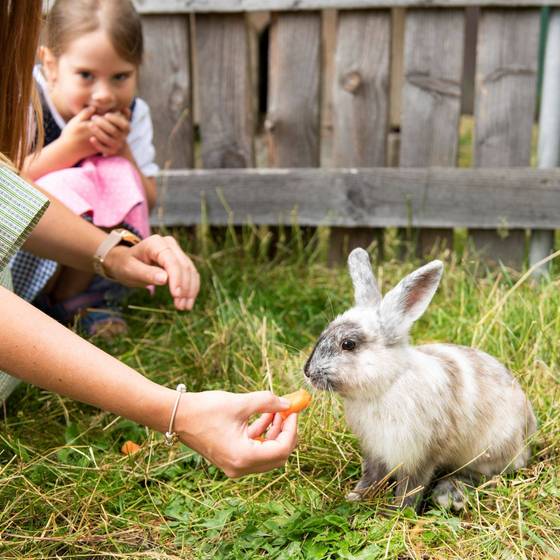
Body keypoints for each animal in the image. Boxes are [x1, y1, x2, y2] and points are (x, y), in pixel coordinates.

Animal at [304, 247, 536, 510]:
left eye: (349, 344)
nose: (308, 372)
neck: (387, 384)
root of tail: (529, 434)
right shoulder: (375, 450)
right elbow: (372, 476)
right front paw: (355, 496)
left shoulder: (420, 455)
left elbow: (411, 486)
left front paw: (397, 511)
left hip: (487, 453)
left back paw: (450, 495)